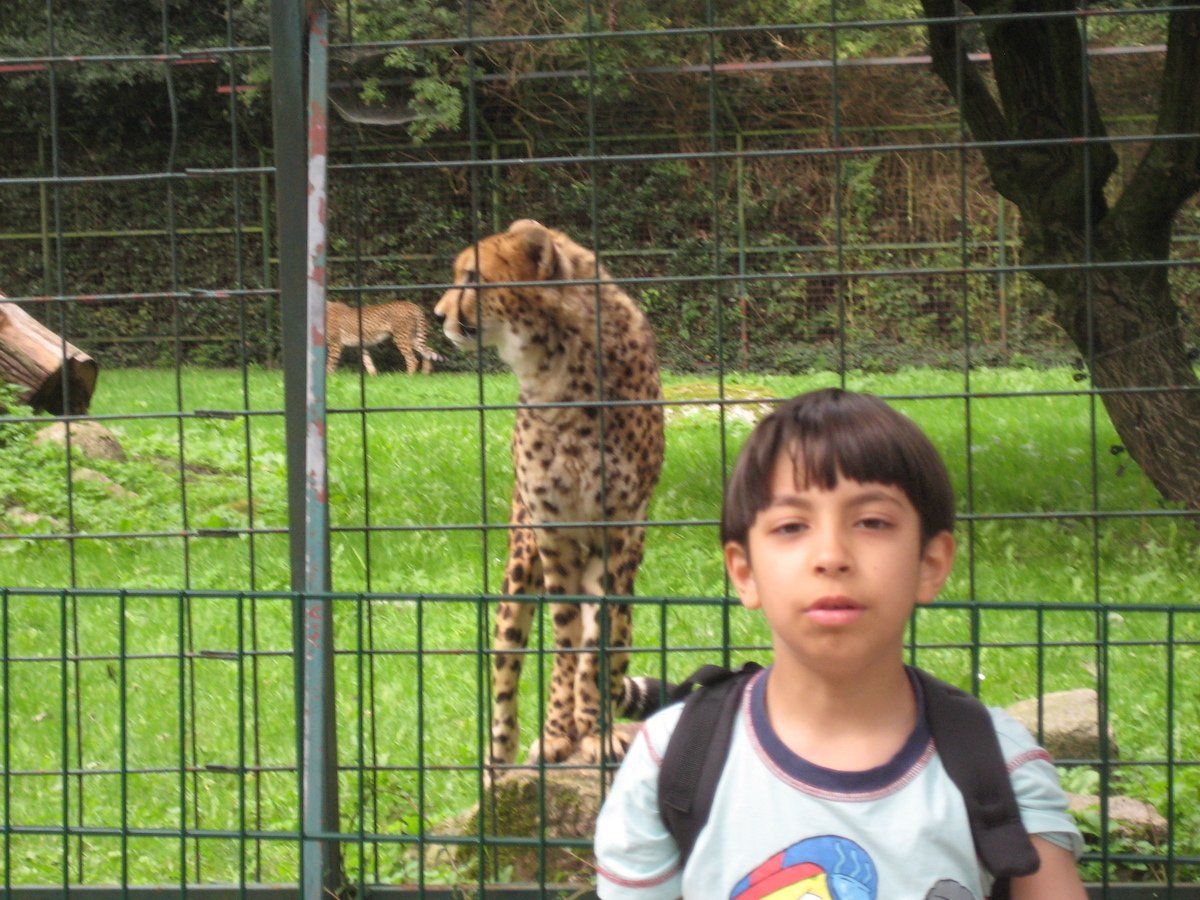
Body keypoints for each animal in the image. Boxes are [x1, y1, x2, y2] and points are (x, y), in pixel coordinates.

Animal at [434, 219, 666, 768]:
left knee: (615, 639)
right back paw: (502, 758)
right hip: (519, 570)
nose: (438, 315)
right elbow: (563, 640)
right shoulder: (552, 531)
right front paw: (560, 729)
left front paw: (593, 729)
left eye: (472, 277)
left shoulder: (617, 532)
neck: (558, 364)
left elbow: (595, 643)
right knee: (507, 668)